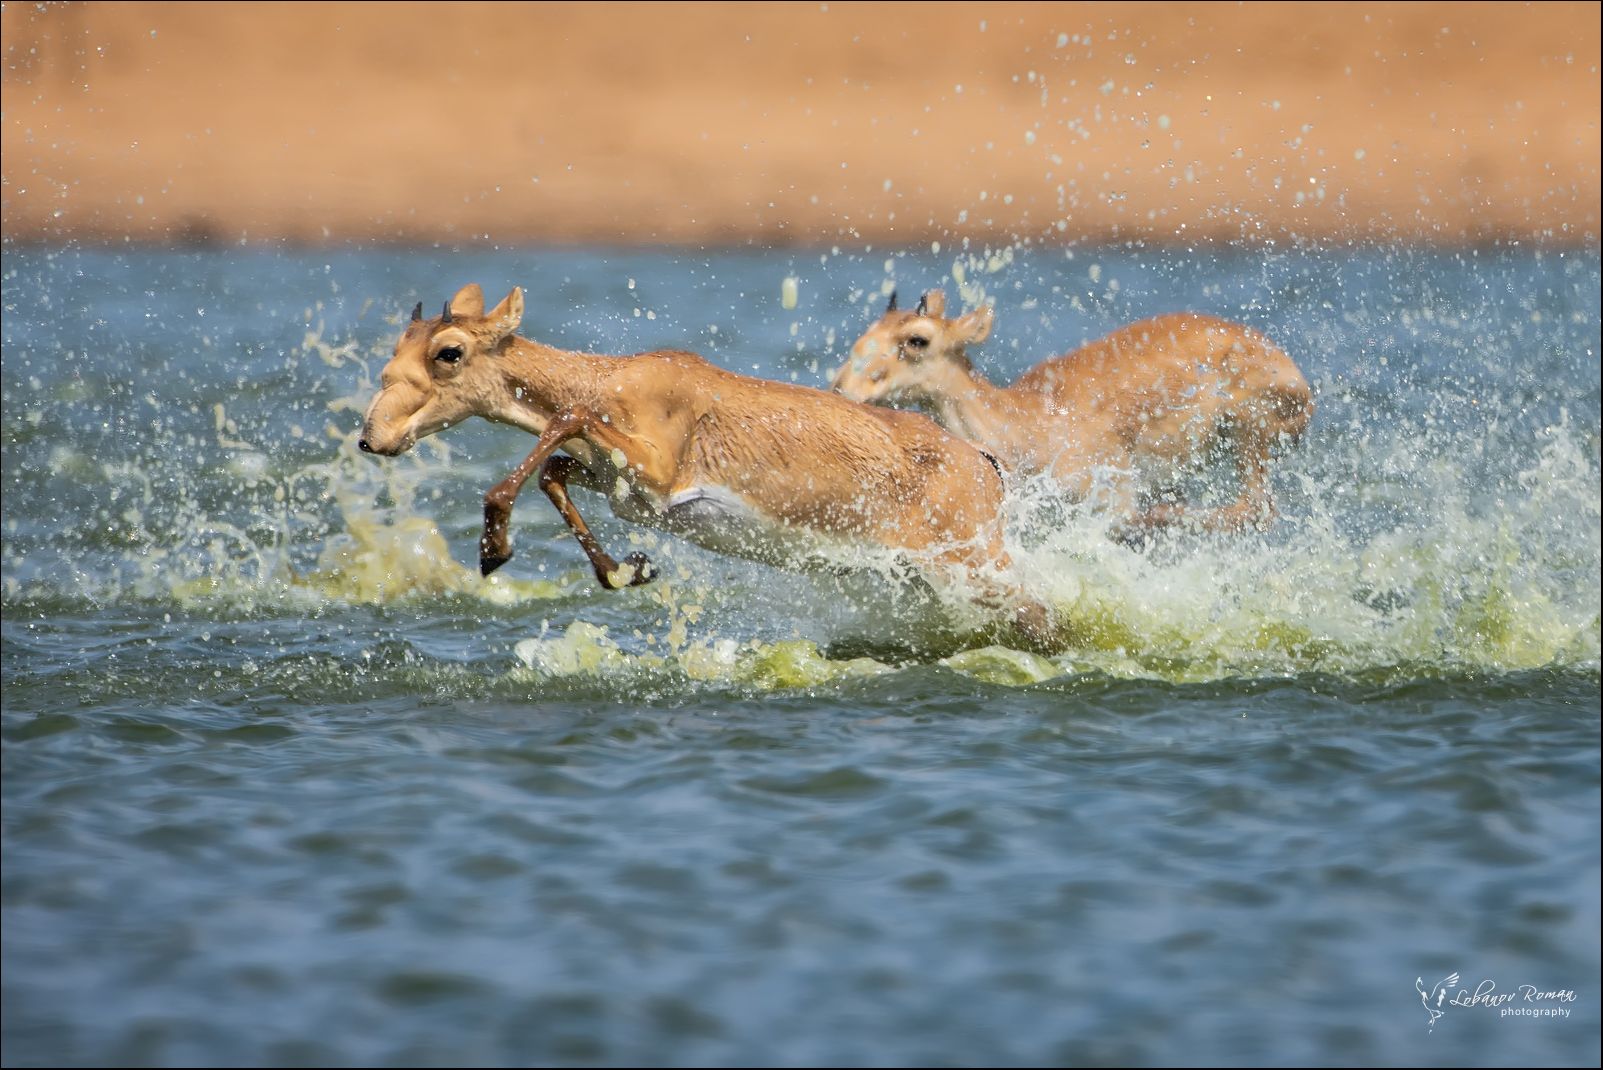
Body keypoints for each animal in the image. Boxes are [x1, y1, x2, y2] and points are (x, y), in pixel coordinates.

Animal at [355, 280, 1045, 641]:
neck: (611, 379)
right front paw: (627, 570)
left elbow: (565, 419)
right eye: (397, 346)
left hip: (976, 565)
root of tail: (985, 465)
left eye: (449, 351)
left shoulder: (659, 467)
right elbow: (555, 469)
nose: (371, 436)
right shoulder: (620, 485)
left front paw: (493, 545)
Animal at [827, 290, 1314, 532]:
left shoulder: (1108, 494)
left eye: (917, 339)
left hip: (1250, 433)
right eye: (869, 329)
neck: (1024, 424)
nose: (842, 388)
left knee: (1255, 507)